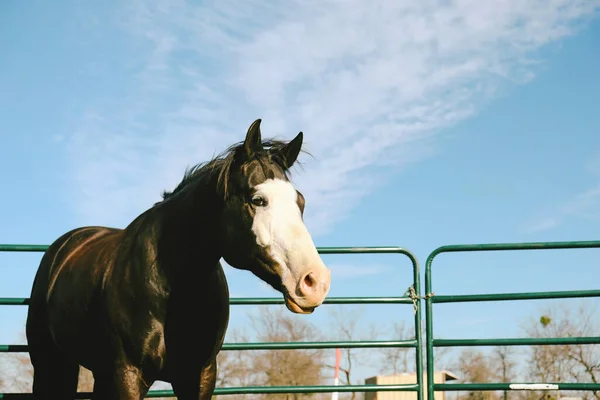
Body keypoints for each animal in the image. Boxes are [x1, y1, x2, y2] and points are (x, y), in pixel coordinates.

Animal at [24, 119, 332, 400]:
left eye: (300, 202)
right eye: (258, 200)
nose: (315, 282)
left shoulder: (199, 375)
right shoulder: (128, 375)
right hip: (49, 362)